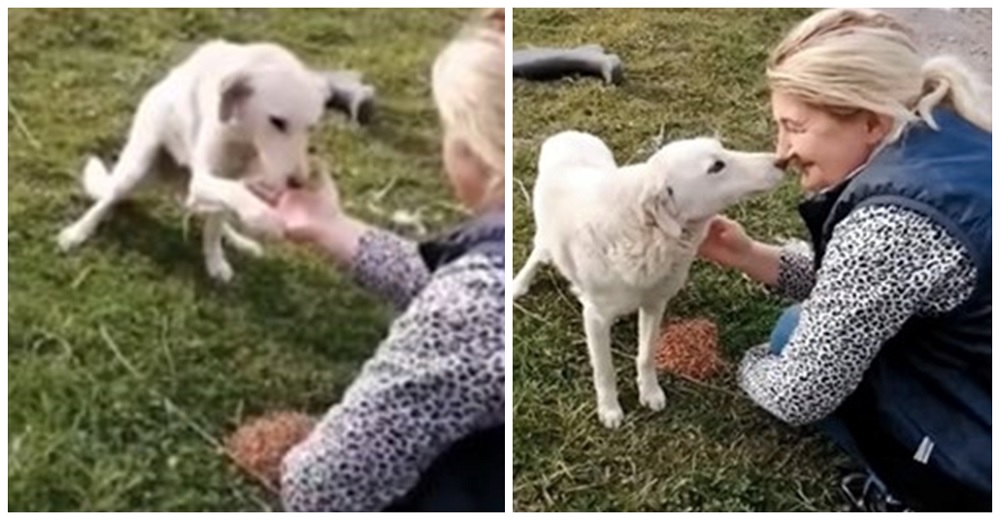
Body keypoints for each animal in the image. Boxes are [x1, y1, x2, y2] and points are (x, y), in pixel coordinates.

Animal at [57, 39, 328, 280]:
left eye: (311, 127)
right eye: (278, 122)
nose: (298, 183)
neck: (243, 137)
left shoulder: (228, 179)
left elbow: (215, 226)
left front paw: (215, 261)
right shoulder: (204, 179)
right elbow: (235, 197)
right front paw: (264, 217)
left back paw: (238, 240)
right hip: (137, 169)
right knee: (106, 200)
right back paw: (77, 231)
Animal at [512, 130, 784, 426]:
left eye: (722, 150)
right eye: (716, 167)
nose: (781, 161)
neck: (645, 232)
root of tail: (568, 133)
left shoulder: (654, 304)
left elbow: (646, 355)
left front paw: (650, 392)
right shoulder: (595, 318)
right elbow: (604, 370)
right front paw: (609, 409)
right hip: (545, 239)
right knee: (538, 254)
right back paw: (519, 284)